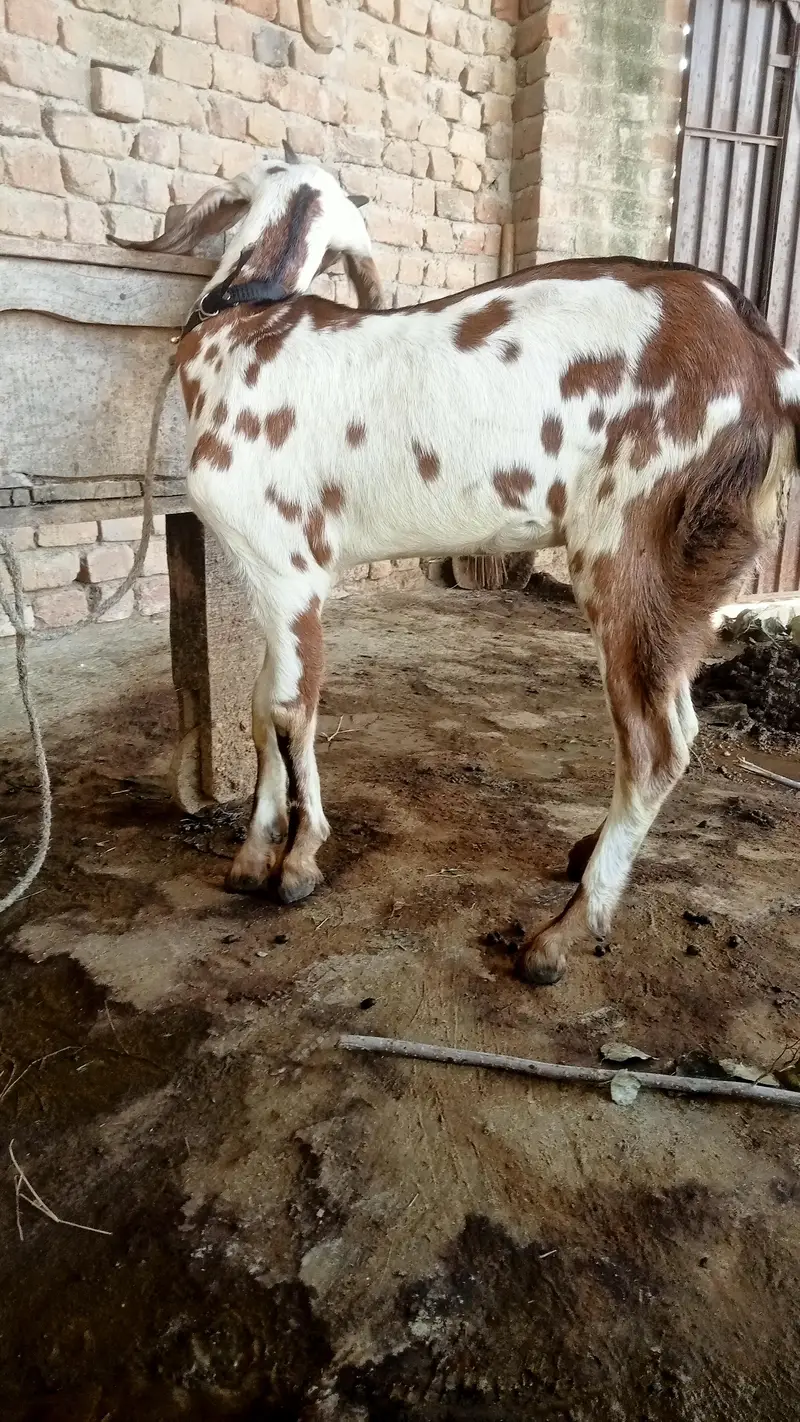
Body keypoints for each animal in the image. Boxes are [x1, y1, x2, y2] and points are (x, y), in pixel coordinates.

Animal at [120, 151, 800, 985]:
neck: (248, 331)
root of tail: (770, 366)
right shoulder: (269, 576)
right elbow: (259, 706)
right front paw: (253, 853)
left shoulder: (290, 565)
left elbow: (289, 712)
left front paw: (298, 861)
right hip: (697, 569)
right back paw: (584, 860)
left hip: (632, 542)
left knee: (655, 744)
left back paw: (562, 934)